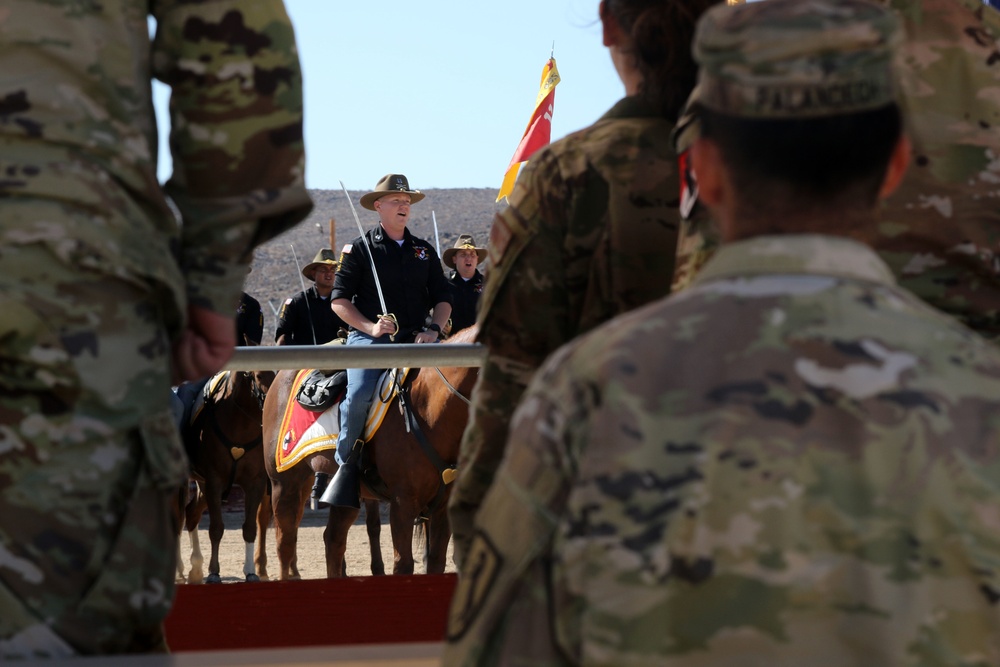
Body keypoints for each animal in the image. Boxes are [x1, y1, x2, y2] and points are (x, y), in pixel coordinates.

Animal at [178, 360, 274, 584]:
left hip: (202, 484)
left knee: (191, 513)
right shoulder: (215, 480)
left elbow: (250, 528)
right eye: (258, 376)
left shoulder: (255, 482)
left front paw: (251, 572)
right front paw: (214, 573)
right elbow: (216, 528)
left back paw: (195, 570)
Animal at [258, 328, 476, 580]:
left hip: (342, 492)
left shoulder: (443, 505)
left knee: (333, 540)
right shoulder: (403, 503)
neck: (429, 409)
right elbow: (403, 565)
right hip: (286, 484)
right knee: (285, 544)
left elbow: (437, 562)